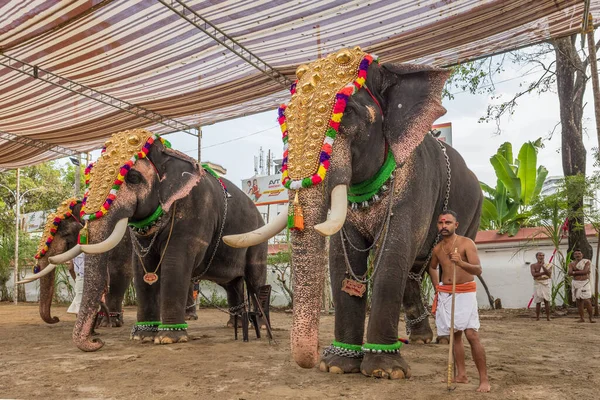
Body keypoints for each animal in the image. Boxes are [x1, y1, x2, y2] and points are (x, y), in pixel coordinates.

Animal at [49, 131, 268, 350]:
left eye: (133, 177)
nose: (97, 341)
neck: (167, 153)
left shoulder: (195, 210)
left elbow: (174, 262)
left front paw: (169, 338)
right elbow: (142, 266)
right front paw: (142, 336)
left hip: (258, 239)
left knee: (255, 278)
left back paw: (261, 326)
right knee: (232, 283)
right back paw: (235, 324)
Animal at [225, 48, 482, 380]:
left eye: (345, 112)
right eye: (283, 119)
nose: (314, 354)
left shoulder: (415, 182)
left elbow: (392, 253)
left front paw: (385, 371)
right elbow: (341, 256)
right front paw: (336, 365)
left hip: (474, 209)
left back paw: (442, 339)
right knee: (414, 271)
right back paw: (422, 339)